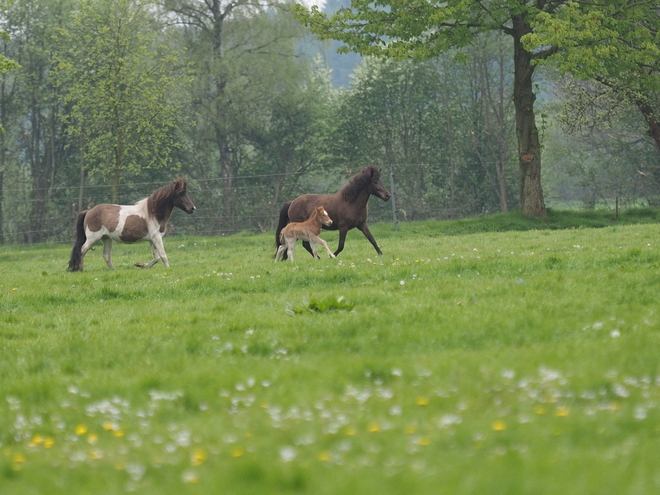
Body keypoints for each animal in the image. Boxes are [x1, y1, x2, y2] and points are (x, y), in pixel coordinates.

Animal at [67, 178, 196, 272]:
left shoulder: (152, 240)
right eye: (180, 194)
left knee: (106, 256)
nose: (192, 208)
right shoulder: (157, 238)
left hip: (106, 238)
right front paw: (168, 269)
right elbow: (163, 255)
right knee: (82, 250)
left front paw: (141, 265)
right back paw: (80, 269)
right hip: (93, 238)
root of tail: (88, 211)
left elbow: (156, 257)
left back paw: (114, 270)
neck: (153, 213)